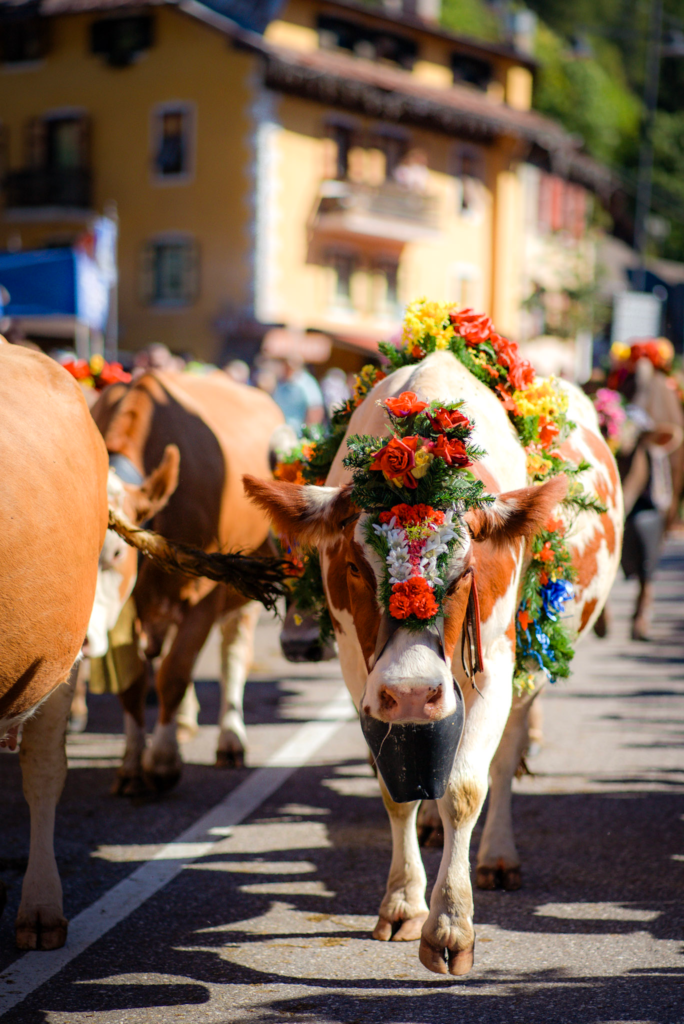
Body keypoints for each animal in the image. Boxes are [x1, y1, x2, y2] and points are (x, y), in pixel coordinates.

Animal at [91, 370, 284, 794]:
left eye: (115, 555)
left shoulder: (205, 597)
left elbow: (175, 672)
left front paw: (163, 761)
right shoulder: (124, 612)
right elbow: (133, 685)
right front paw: (132, 763)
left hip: (240, 596)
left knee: (232, 655)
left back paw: (229, 737)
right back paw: (182, 721)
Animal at [245, 349, 622, 976]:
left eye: (465, 571)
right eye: (354, 566)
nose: (413, 691)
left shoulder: (493, 663)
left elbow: (466, 787)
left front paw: (450, 925)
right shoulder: (358, 668)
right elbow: (393, 787)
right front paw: (402, 903)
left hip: (528, 667)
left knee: (504, 757)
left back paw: (496, 856)